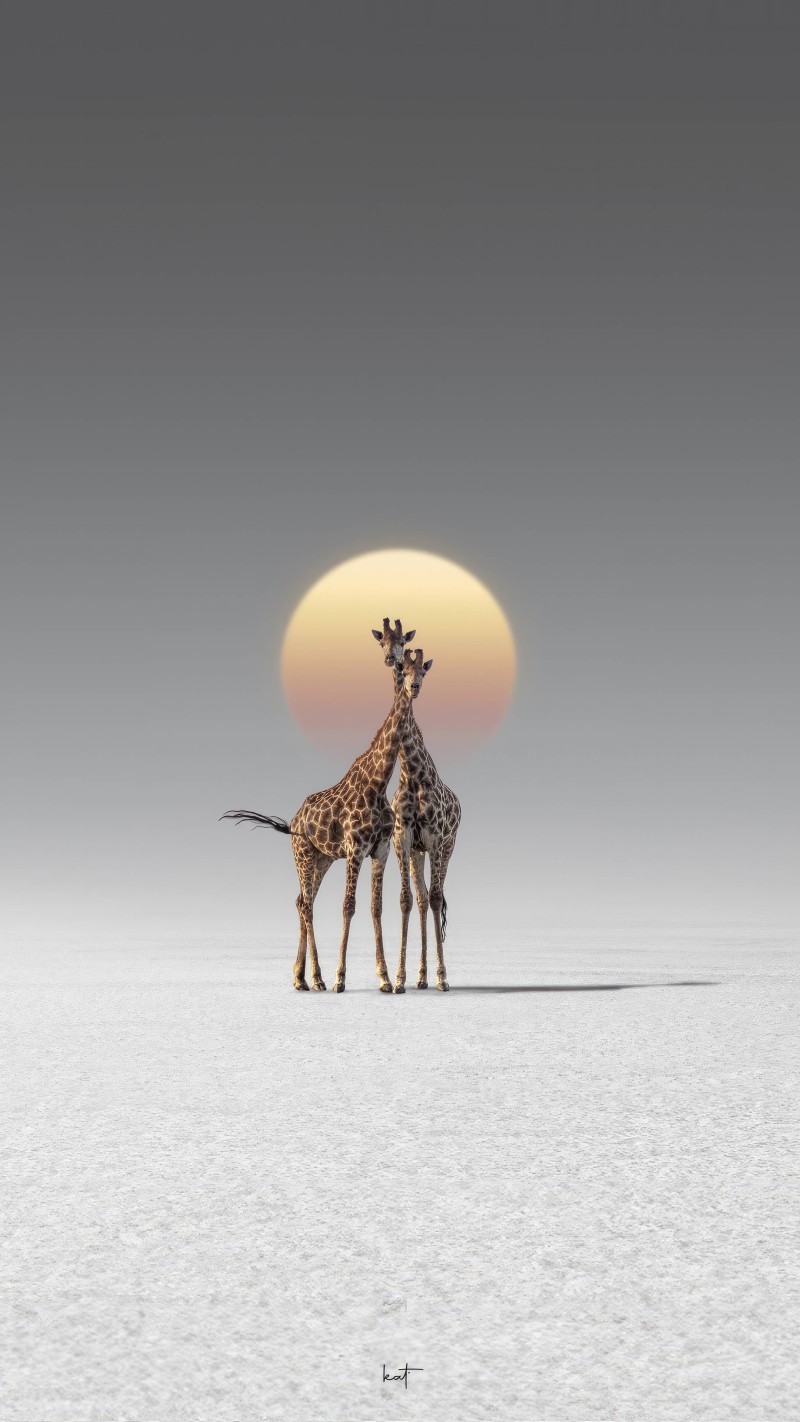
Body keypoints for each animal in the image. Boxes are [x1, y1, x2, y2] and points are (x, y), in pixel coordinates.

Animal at [221, 648, 429, 993]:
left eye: (422, 671)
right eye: (402, 666)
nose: (413, 687)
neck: (378, 782)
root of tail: (292, 823)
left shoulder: (381, 849)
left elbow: (375, 906)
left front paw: (385, 979)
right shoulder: (355, 849)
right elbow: (348, 905)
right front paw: (339, 978)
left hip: (322, 859)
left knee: (301, 902)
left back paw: (300, 978)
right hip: (304, 856)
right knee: (306, 905)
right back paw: (316, 978)